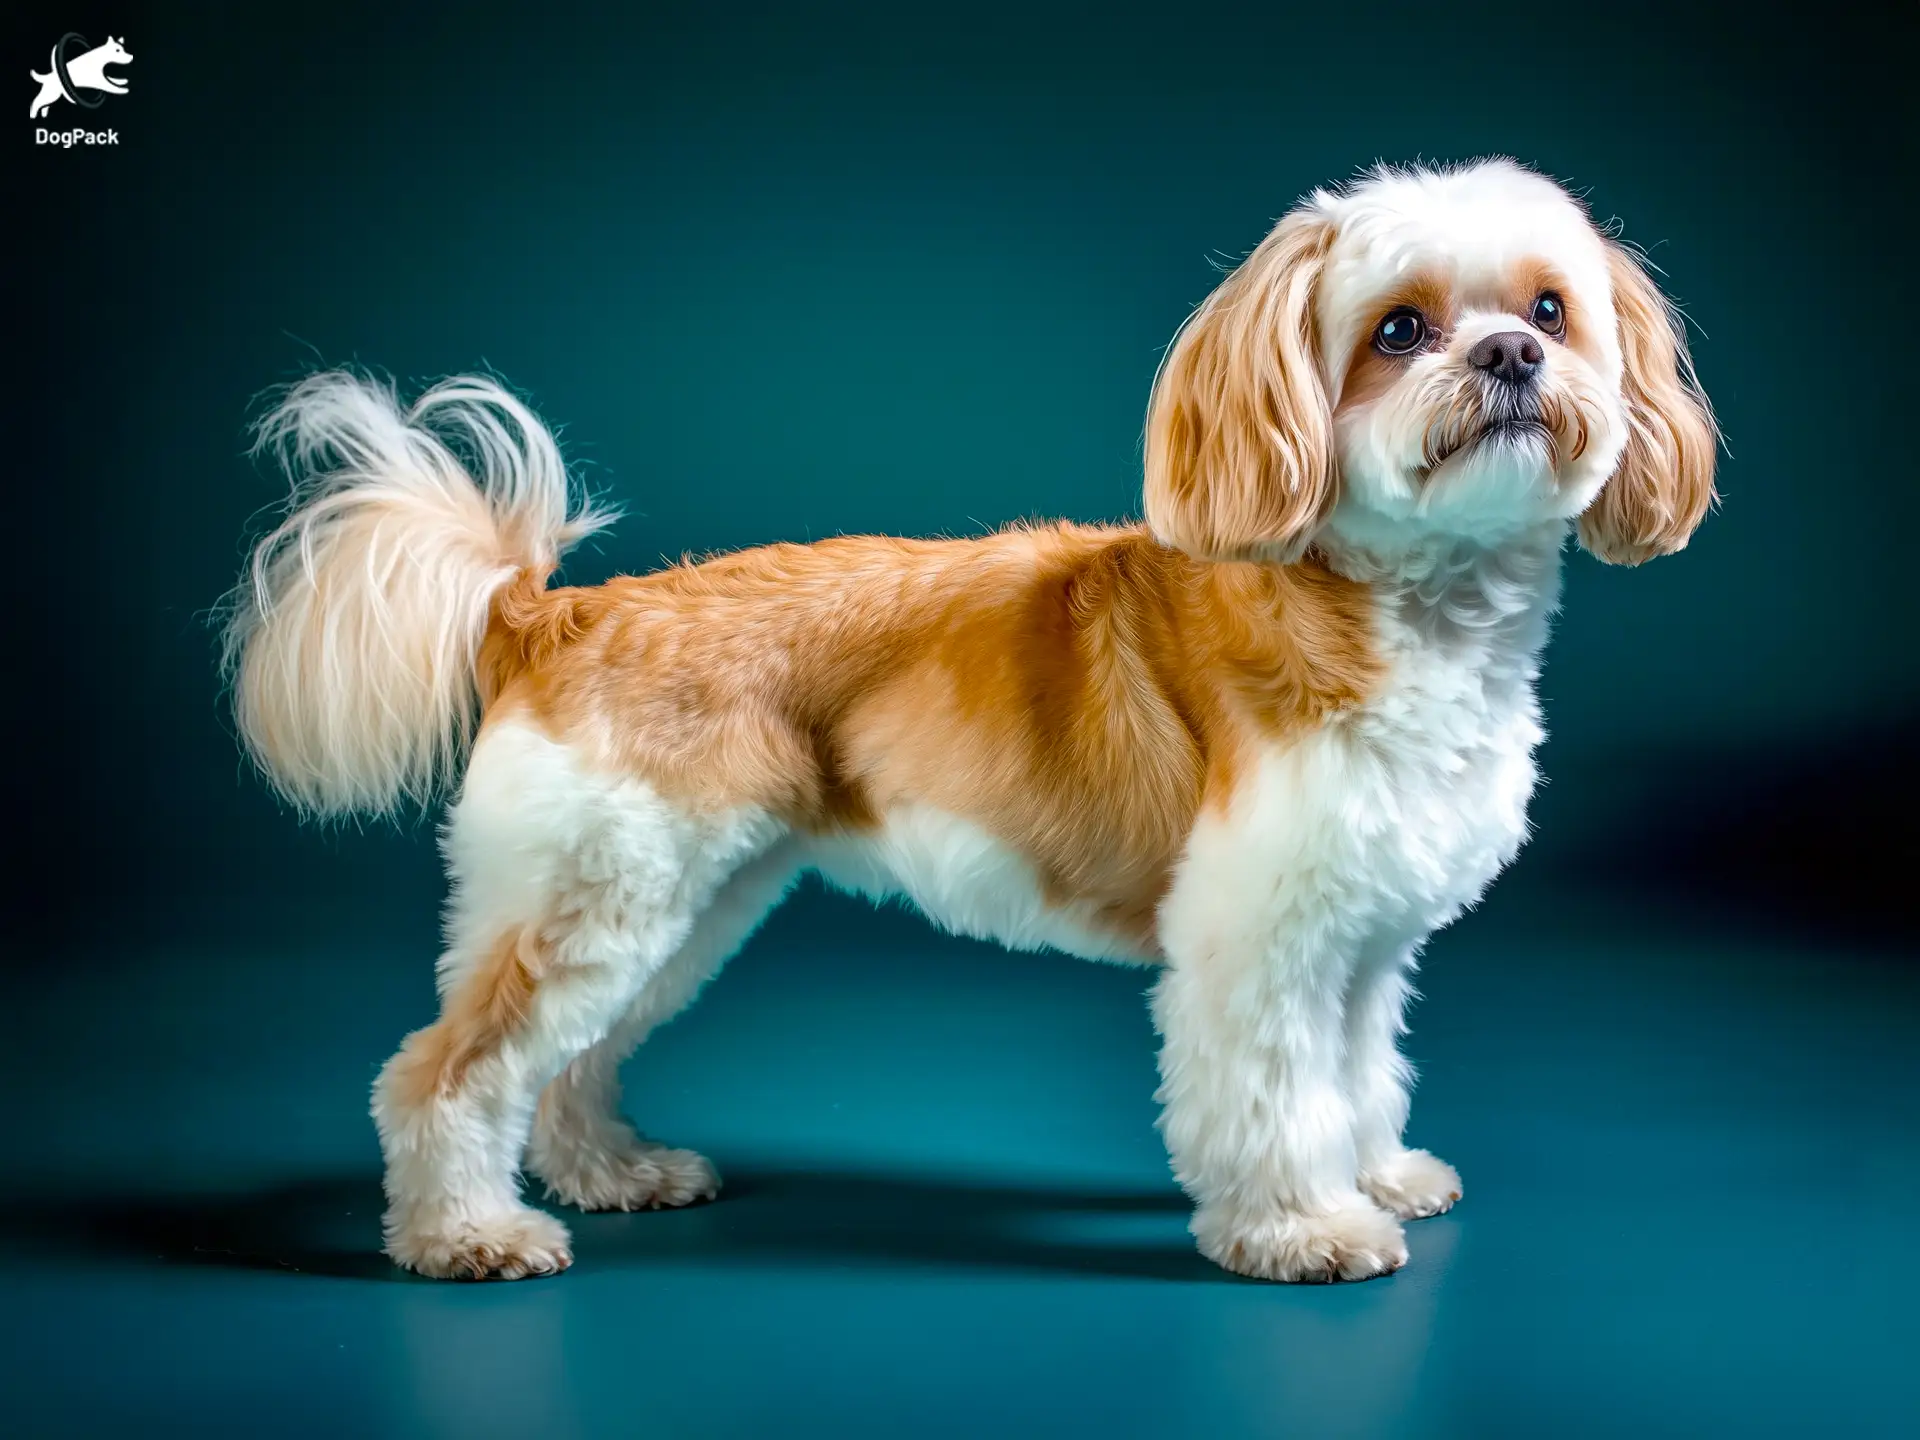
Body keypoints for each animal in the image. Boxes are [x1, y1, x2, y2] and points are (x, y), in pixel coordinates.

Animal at [220, 157, 1712, 1282]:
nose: (1512, 354)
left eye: (1552, 309)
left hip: (673, 902)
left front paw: (1380, 1175)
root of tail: (557, 614)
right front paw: (1303, 1230)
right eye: (1400, 329)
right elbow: (1277, 1095)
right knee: (446, 1073)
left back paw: (610, 1172)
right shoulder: (1259, 939)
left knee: (572, 1059)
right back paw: (464, 1235)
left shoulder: (1359, 940)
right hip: (601, 891)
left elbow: (1357, 1075)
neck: (1402, 603)